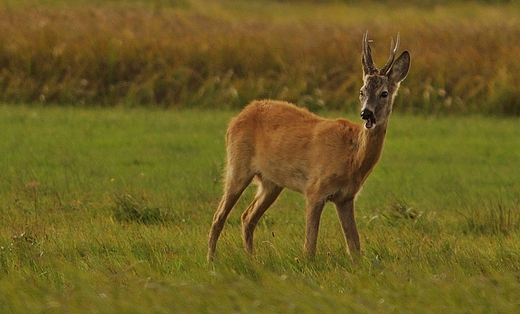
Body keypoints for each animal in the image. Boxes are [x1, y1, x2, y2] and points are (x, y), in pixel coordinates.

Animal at [207, 31, 410, 262]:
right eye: (361, 91)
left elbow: (354, 246)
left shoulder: (346, 197)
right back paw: (211, 259)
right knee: (219, 216)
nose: (366, 113)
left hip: (271, 183)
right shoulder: (315, 189)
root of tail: (237, 117)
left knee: (247, 216)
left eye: (384, 93)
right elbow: (310, 245)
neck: (352, 157)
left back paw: (252, 259)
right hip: (237, 166)